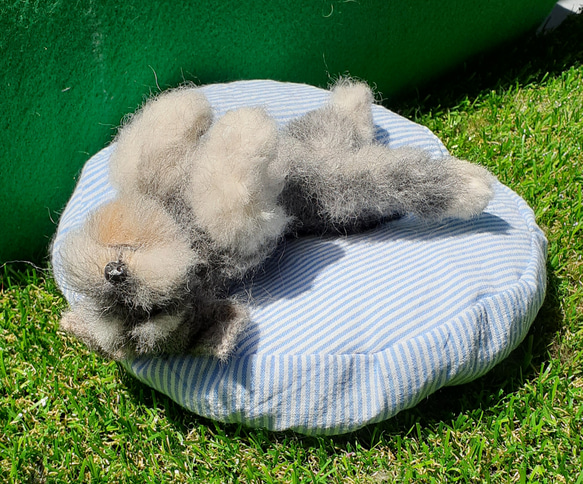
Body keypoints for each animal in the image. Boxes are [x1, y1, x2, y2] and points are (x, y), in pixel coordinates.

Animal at [54, 80, 496, 360]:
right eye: (144, 314)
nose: (114, 273)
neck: (185, 233)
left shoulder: (170, 185)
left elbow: (155, 145)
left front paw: (209, 115)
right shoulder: (252, 237)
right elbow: (229, 196)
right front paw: (241, 132)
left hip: (322, 140)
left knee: (349, 114)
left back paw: (353, 95)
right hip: (348, 187)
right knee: (395, 174)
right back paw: (470, 186)